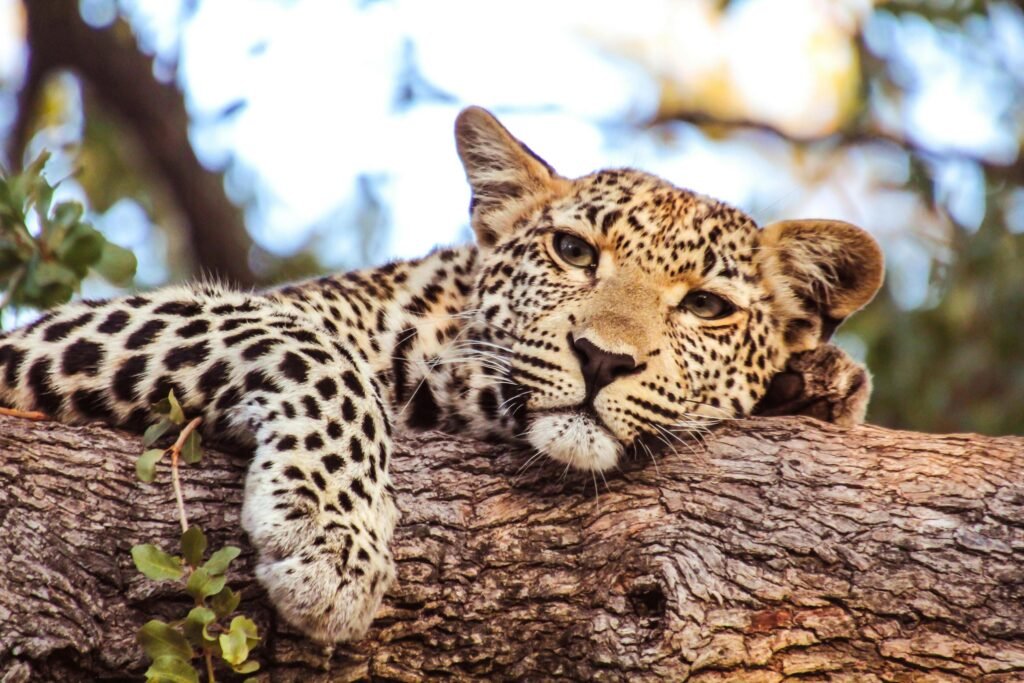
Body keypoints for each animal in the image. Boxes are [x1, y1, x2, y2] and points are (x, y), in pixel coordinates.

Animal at [0, 106, 884, 644]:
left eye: (705, 305)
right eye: (573, 251)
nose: (603, 356)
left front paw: (820, 381)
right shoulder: (41, 338)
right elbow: (309, 348)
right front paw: (332, 540)